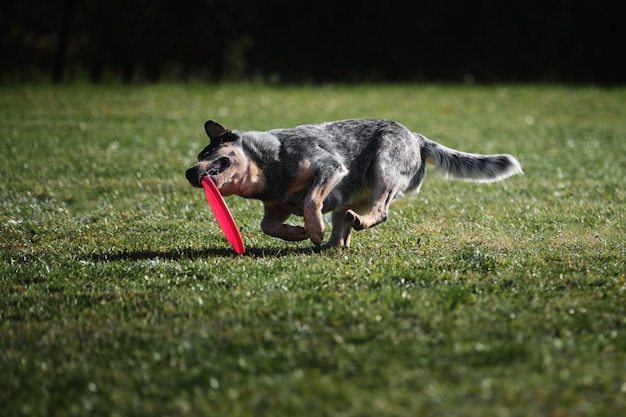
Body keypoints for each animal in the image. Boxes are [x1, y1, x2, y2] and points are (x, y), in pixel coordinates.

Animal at [185, 118, 520, 245]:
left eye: (207, 152)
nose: (189, 172)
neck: (267, 169)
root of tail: (416, 137)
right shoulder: (275, 207)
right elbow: (267, 225)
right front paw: (297, 233)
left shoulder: (329, 166)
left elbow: (311, 199)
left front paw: (313, 229)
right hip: (349, 198)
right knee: (343, 227)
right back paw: (335, 241)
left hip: (385, 166)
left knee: (380, 212)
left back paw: (356, 222)